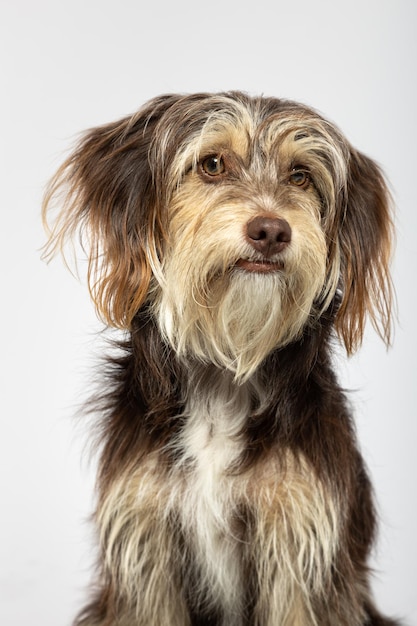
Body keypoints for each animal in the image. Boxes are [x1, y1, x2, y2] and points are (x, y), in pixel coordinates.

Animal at [42, 92, 396, 624]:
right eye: (212, 164)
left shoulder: (300, 548)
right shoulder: (145, 546)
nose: (271, 230)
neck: (224, 372)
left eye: (300, 176)